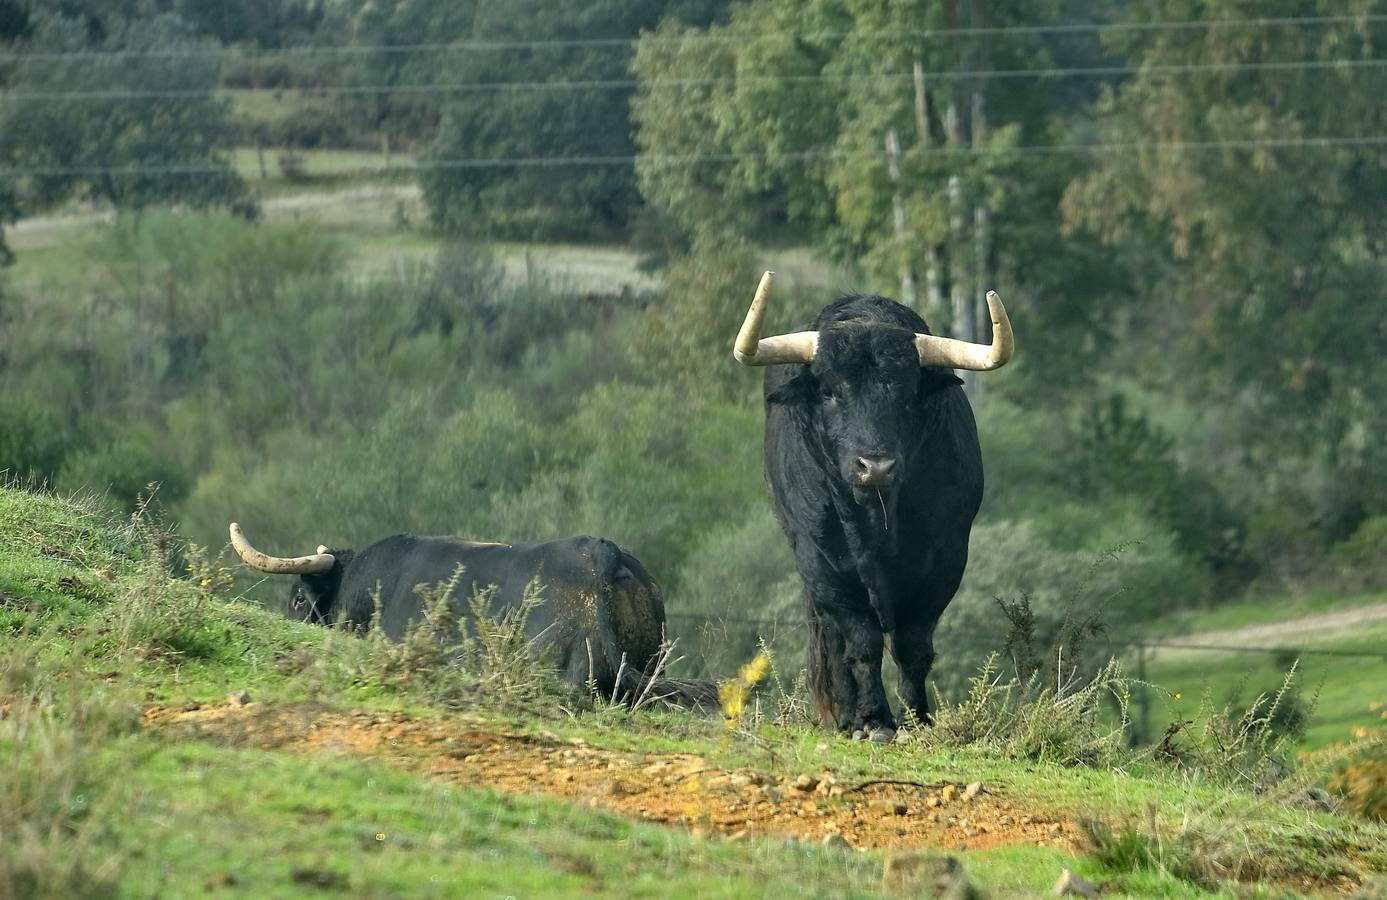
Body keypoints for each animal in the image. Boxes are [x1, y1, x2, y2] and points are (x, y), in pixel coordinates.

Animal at [732, 270, 1015, 743]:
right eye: (830, 393)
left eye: (908, 394)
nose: (875, 465)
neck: (876, 520)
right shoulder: (823, 564)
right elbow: (861, 643)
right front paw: (874, 721)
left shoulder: (947, 560)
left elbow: (913, 646)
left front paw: (917, 720)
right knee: (833, 641)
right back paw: (846, 715)